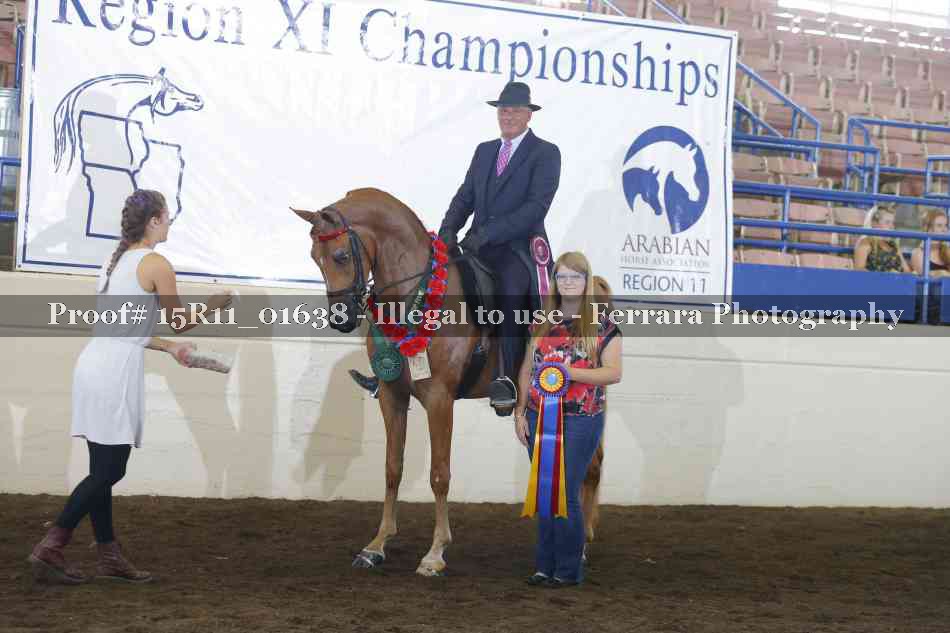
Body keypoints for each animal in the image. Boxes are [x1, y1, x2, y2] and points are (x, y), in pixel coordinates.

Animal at [292, 188, 606, 576]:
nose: (341, 319)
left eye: (340, 255)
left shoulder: (439, 399)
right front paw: (377, 545)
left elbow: (439, 474)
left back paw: (581, 546)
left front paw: (435, 552)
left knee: (590, 465)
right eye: (314, 257)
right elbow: (392, 468)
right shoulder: (392, 396)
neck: (417, 296)